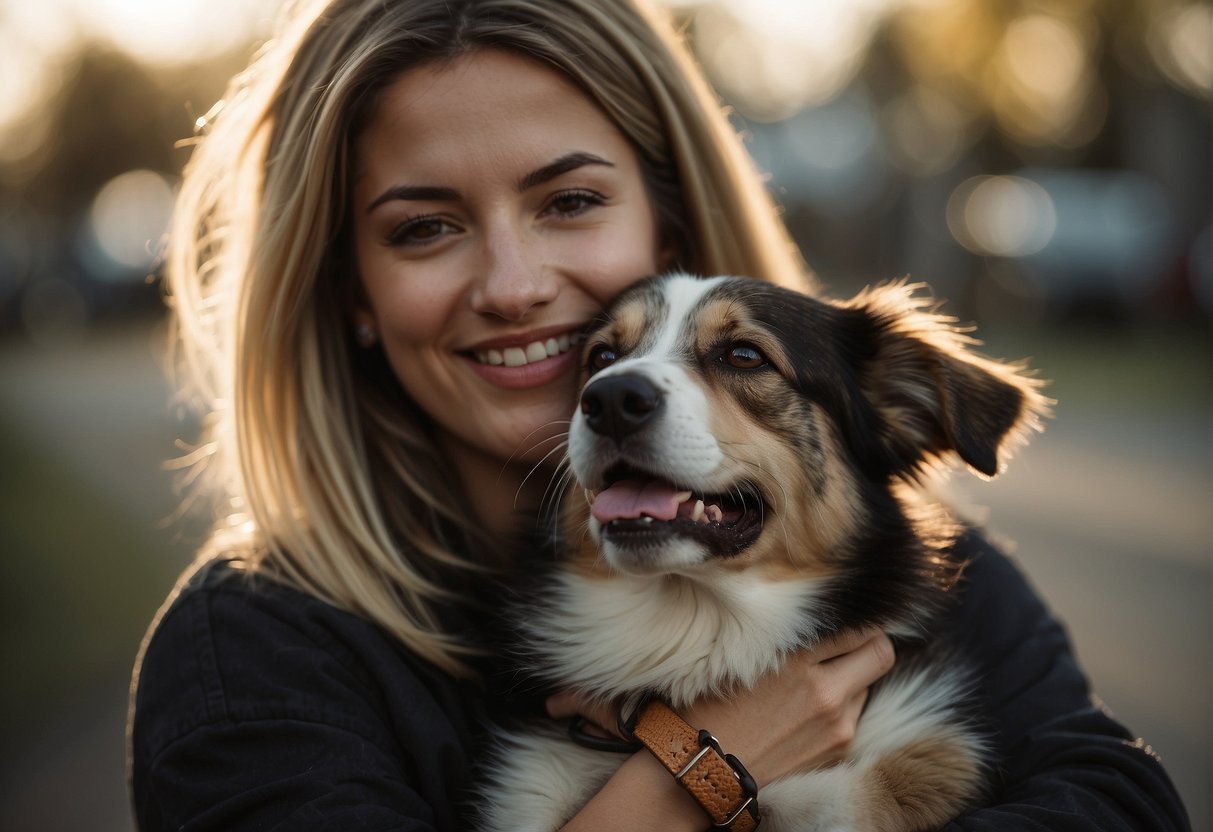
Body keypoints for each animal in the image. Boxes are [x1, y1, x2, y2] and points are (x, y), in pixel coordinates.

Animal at [477, 270, 1048, 829]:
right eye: (601, 357)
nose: (611, 399)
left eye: (745, 355)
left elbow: (863, 799)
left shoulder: (925, 747)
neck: (699, 627)